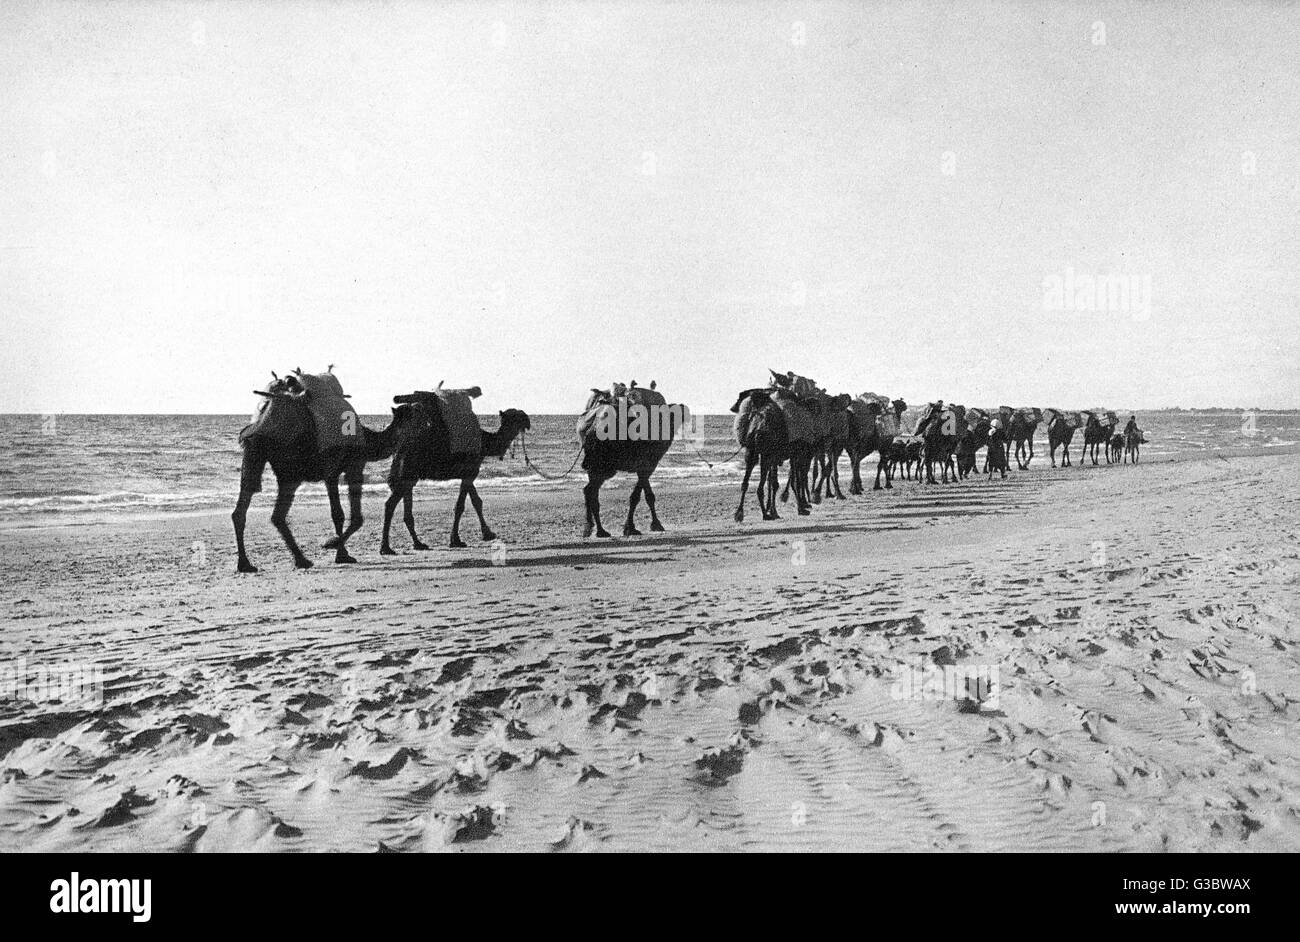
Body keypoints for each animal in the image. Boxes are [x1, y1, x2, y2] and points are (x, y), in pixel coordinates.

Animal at [233, 374, 410, 574]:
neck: (369, 441)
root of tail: (261, 420)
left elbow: (344, 516)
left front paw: (340, 551)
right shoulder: (347, 467)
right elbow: (344, 515)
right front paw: (336, 549)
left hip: (259, 455)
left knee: (252, 504)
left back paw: (255, 563)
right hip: (287, 466)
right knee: (270, 511)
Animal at [379, 394, 530, 550]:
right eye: (515, 415)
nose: (527, 420)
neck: (484, 442)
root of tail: (399, 449)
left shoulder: (469, 473)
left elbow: (476, 501)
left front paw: (487, 534)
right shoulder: (470, 472)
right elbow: (461, 506)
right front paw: (457, 540)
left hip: (408, 476)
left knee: (404, 507)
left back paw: (417, 543)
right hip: (408, 472)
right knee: (390, 504)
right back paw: (386, 548)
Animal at [577, 381, 681, 532]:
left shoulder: (645, 465)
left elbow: (646, 494)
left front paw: (647, 525)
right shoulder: (648, 463)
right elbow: (638, 495)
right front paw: (632, 527)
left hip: (598, 463)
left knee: (590, 490)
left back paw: (592, 528)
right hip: (603, 464)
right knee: (591, 490)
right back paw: (598, 530)